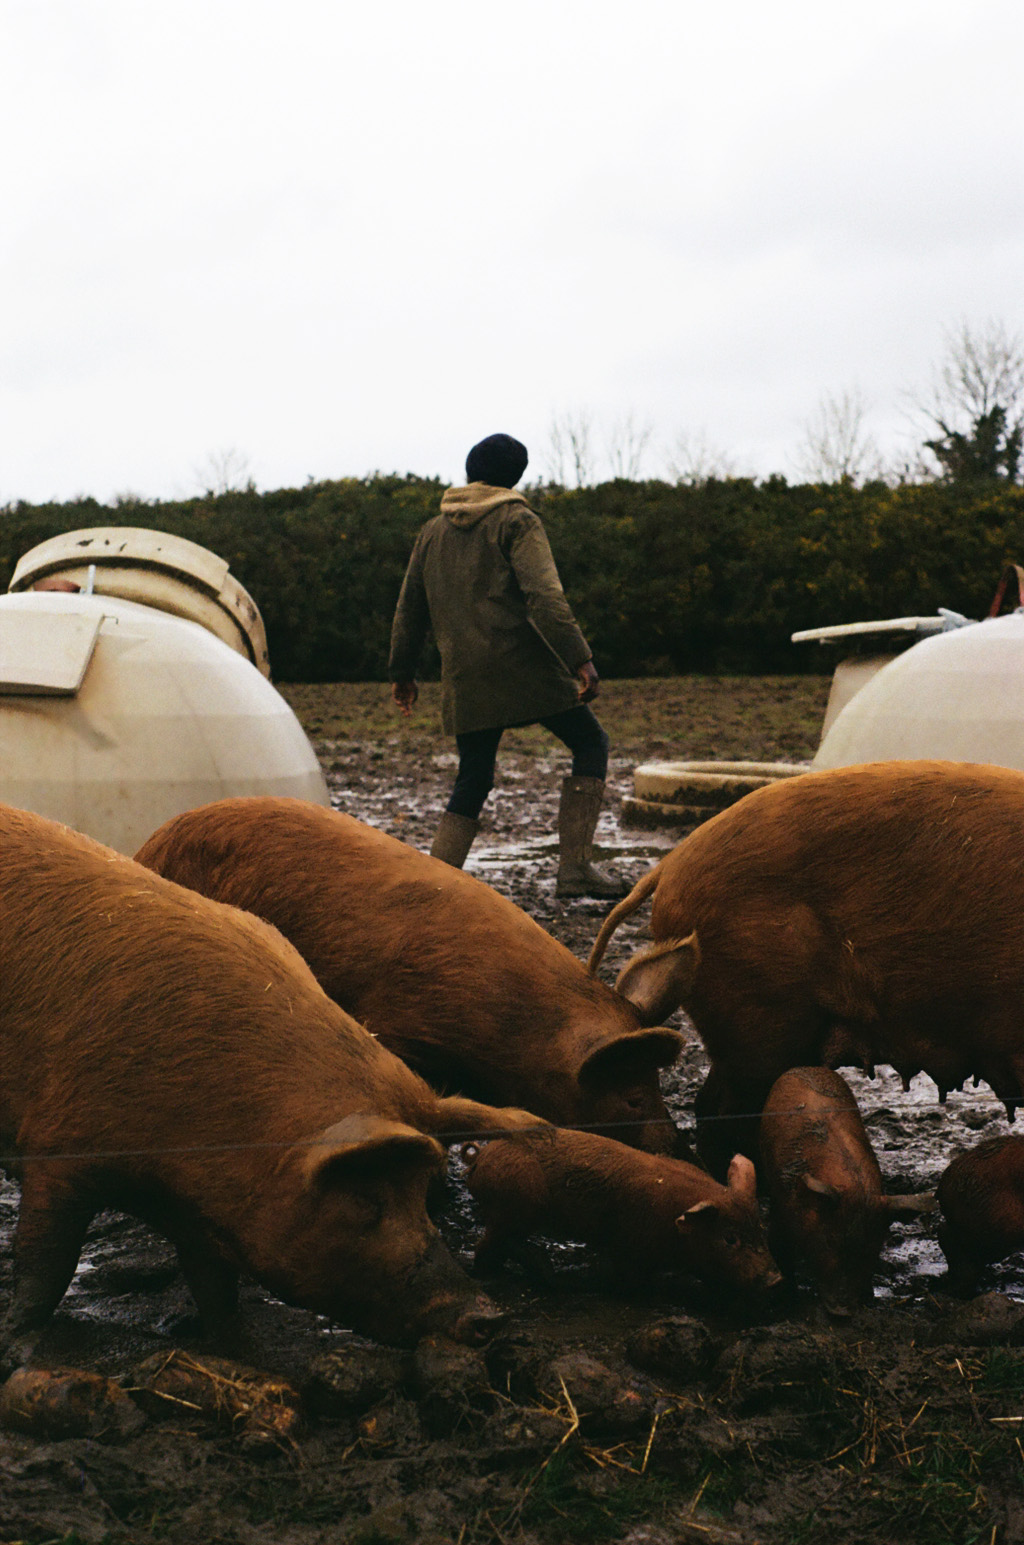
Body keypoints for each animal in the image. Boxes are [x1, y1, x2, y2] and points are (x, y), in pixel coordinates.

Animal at [0, 802, 546, 1372]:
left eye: (421, 1195)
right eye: (368, 1200)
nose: (488, 1316)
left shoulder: (199, 1212)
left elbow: (215, 1286)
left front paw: (242, 1351)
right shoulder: (57, 1151)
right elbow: (46, 1260)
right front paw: (22, 1352)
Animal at [460, 1126, 782, 1300]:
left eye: (761, 1229)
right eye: (729, 1239)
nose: (776, 1280)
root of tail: (479, 1157)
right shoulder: (629, 1248)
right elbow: (629, 1279)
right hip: (511, 1209)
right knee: (486, 1245)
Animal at [759, 1068, 934, 1317]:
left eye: (871, 1247)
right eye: (830, 1242)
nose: (843, 1311)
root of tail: (805, 1067)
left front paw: (869, 1298)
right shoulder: (781, 1207)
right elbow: (779, 1250)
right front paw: (789, 1301)